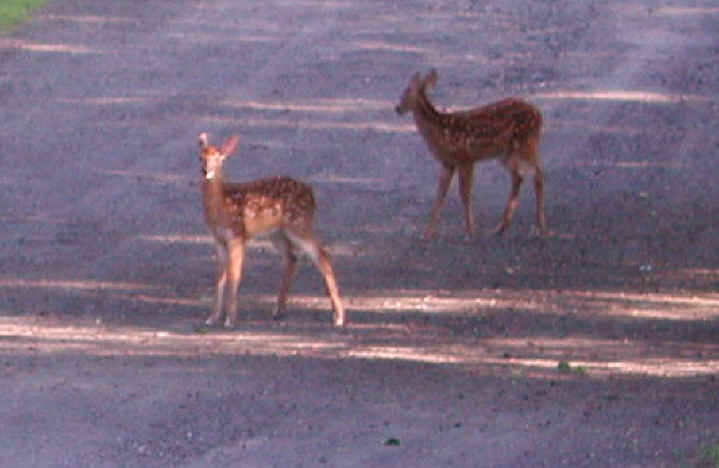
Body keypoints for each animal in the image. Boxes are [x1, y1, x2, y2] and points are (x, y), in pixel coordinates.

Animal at [197, 132, 345, 328]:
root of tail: (311, 193)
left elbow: (234, 275)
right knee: (292, 258)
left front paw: (230, 319)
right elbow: (219, 278)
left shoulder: (238, 234)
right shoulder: (218, 239)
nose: (206, 171)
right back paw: (278, 310)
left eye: (219, 158)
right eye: (200, 157)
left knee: (322, 256)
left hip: (299, 223)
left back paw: (339, 316)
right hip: (277, 233)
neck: (222, 205)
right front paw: (212, 317)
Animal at [396, 69, 547, 240]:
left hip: (527, 143)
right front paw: (427, 233)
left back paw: (541, 228)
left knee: (538, 174)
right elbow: (440, 194)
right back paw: (499, 228)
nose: (397, 108)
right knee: (518, 177)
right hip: (507, 152)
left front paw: (470, 231)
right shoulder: (448, 162)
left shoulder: (466, 158)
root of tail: (539, 114)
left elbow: (465, 193)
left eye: (407, 91)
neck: (440, 131)